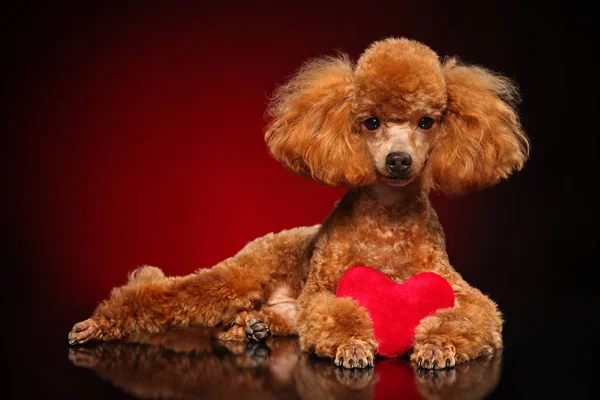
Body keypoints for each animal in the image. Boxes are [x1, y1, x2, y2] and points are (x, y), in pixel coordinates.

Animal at [68, 37, 528, 368]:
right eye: (371, 122)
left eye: (427, 122)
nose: (399, 160)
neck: (388, 218)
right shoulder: (326, 288)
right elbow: (338, 312)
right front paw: (353, 344)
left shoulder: (453, 287)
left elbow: (475, 313)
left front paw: (435, 346)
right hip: (237, 277)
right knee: (165, 295)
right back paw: (102, 323)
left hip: (277, 306)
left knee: (268, 319)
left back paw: (251, 327)